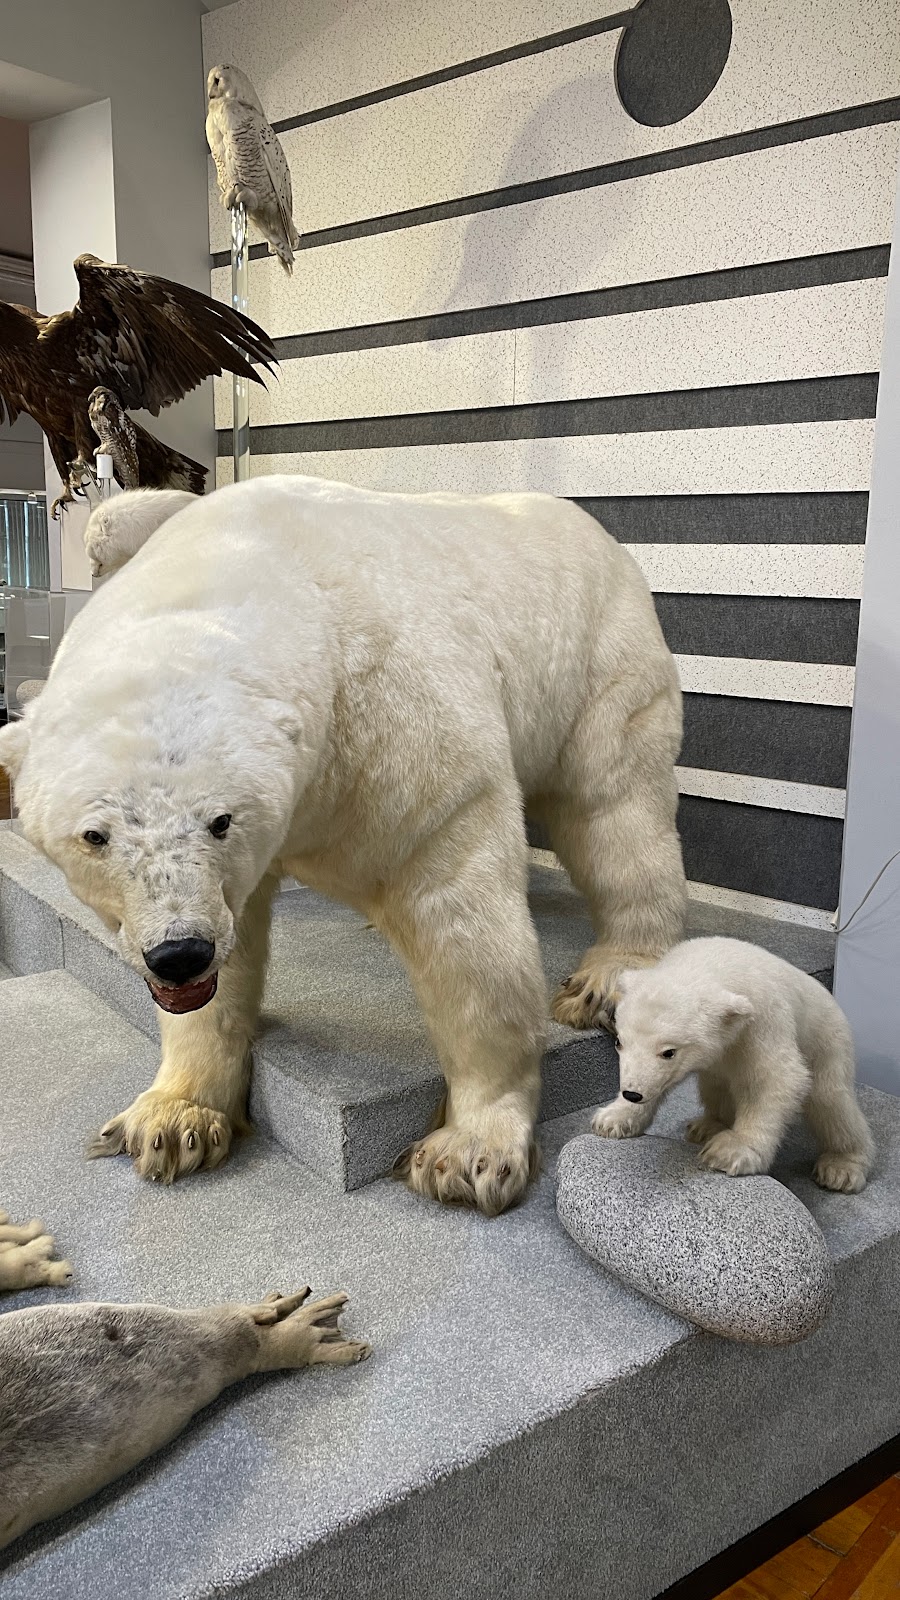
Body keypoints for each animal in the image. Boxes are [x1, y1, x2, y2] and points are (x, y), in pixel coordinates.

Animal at [0, 473, 682, 1209]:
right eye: (95, 835)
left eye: (220, 820)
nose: (179, 954)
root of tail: (604, 537)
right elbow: (230, 956)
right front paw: (173, 1120)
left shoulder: (389, 727)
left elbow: (462, 921)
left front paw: (471, 1151)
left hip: (598, 661)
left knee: (615, 809)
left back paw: (610, 977)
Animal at [592, 934, 871, 1190]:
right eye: (619, 1042)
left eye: (669, 1052)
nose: (632, 1093)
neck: (711, 964)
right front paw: (612, 1119)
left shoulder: (761, 1021)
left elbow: (776, 1078)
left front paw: (731, 1151)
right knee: (716, 1087)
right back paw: (705, 1127)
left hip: (827, 1041)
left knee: (830, 1102)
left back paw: (841, 1167)